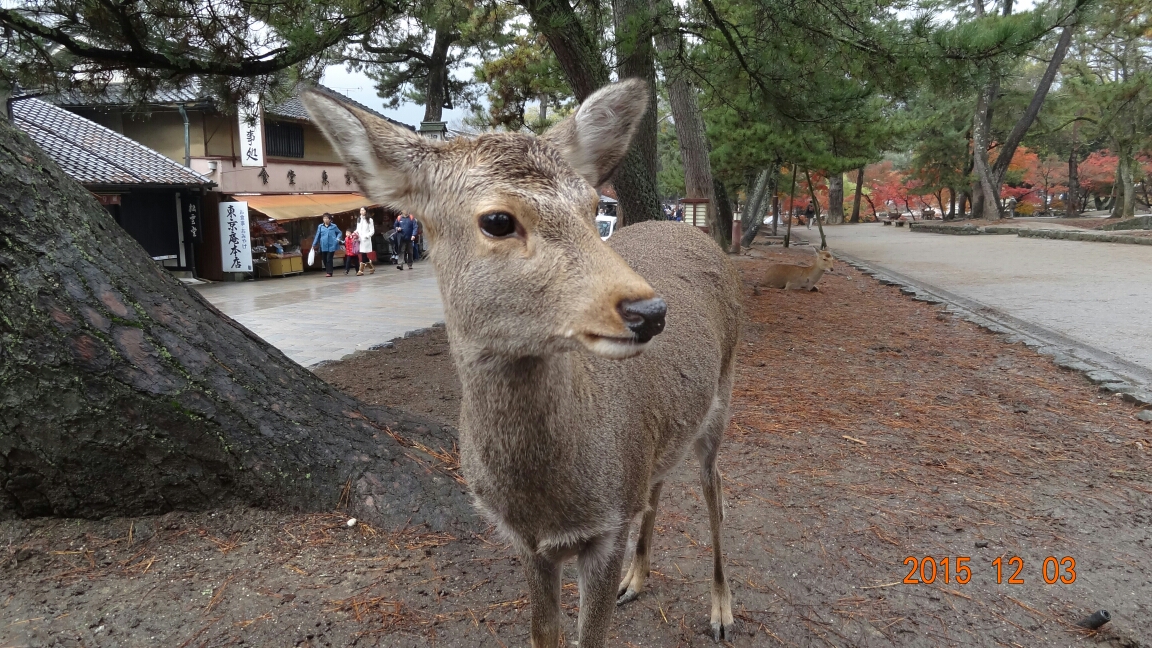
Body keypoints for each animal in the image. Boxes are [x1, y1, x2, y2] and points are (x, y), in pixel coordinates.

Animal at [304, 81, 737, 645]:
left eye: (592, 205)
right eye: (497, 220)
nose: (650, 311)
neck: (544, 502)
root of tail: (693, 233)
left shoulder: (608, 526)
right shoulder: (527, 543)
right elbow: (542, 634)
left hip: (724, 394)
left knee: (713, 488)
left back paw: (722, 610)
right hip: (662, 440)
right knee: (661, 482)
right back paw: (637, 577)